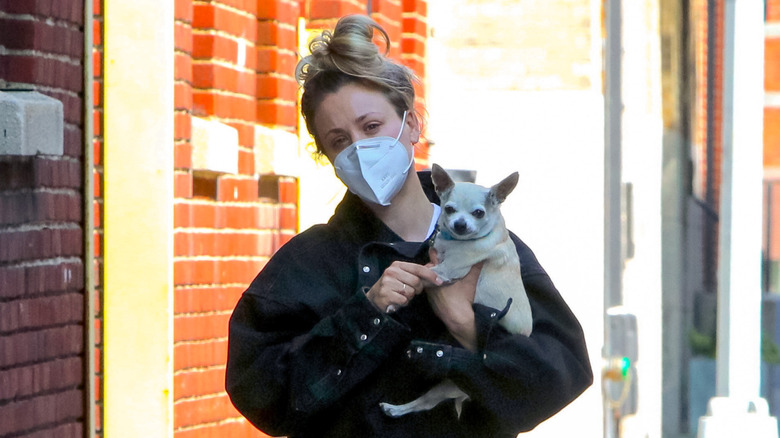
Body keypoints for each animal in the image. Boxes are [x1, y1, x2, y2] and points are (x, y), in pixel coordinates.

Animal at [380, 163, 536, 418]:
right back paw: (395, 409)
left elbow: (419, 274)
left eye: (479, 213)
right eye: (449, 209)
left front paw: (397, 298)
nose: (460, 224)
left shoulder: (445, 272)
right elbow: (417, 268)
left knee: (426, 402)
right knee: (424, 402)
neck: (455, 243)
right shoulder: (439, 261)